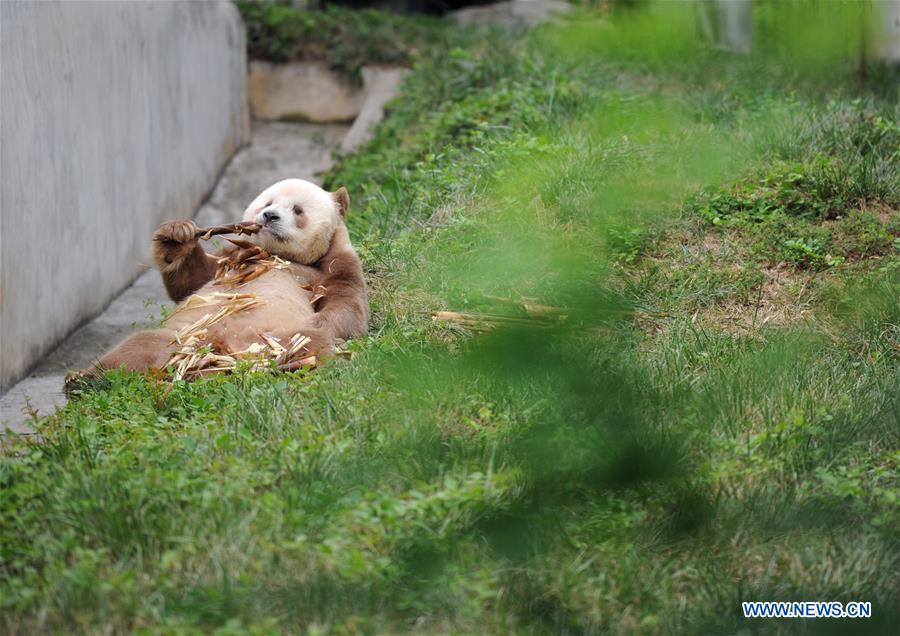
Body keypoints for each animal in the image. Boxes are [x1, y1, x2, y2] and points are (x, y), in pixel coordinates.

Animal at [68, 176, 368, 386]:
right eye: (267, 202)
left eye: (297, 210)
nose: (269, 216)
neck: (275, 255)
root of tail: (216, 352)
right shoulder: (232, 258)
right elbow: (191, 281)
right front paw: (176, 235)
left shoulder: (332, 265)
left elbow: (347, 305)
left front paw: (326, 322)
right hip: (181, 336)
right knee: (135, 348)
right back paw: (84, 381)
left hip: (271, 337)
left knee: (309, 343)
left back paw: (288, 365)